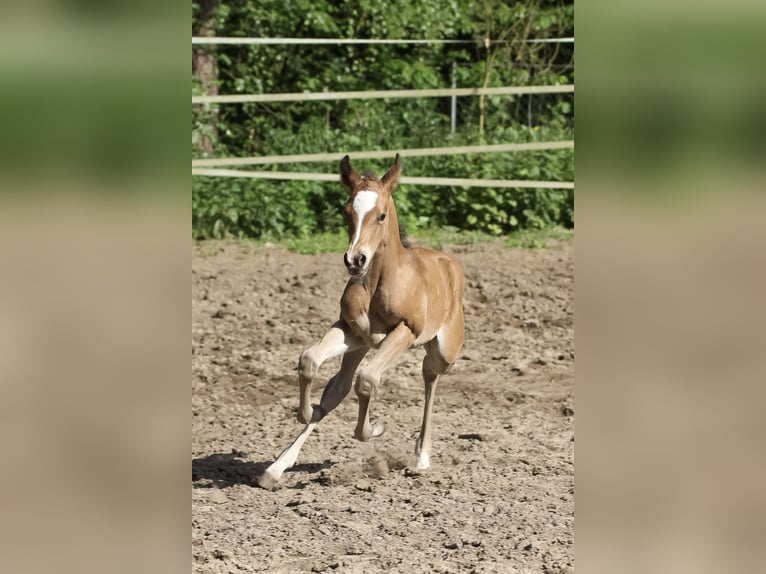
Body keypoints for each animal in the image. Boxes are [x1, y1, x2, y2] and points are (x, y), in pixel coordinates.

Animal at [257, 154, 465, 489]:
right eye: (346, 212)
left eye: (381, 215)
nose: (355, 260)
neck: (379, 283)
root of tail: (450, 264)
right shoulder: (350, 330)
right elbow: (310, 361)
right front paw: (305, 412)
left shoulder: (405, 332)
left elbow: (367, 380)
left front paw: (375, 429)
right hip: (361, 346)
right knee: (339, 386)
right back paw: (275, 468)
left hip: (444, 350)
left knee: (430, 374)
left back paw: (421, 457)